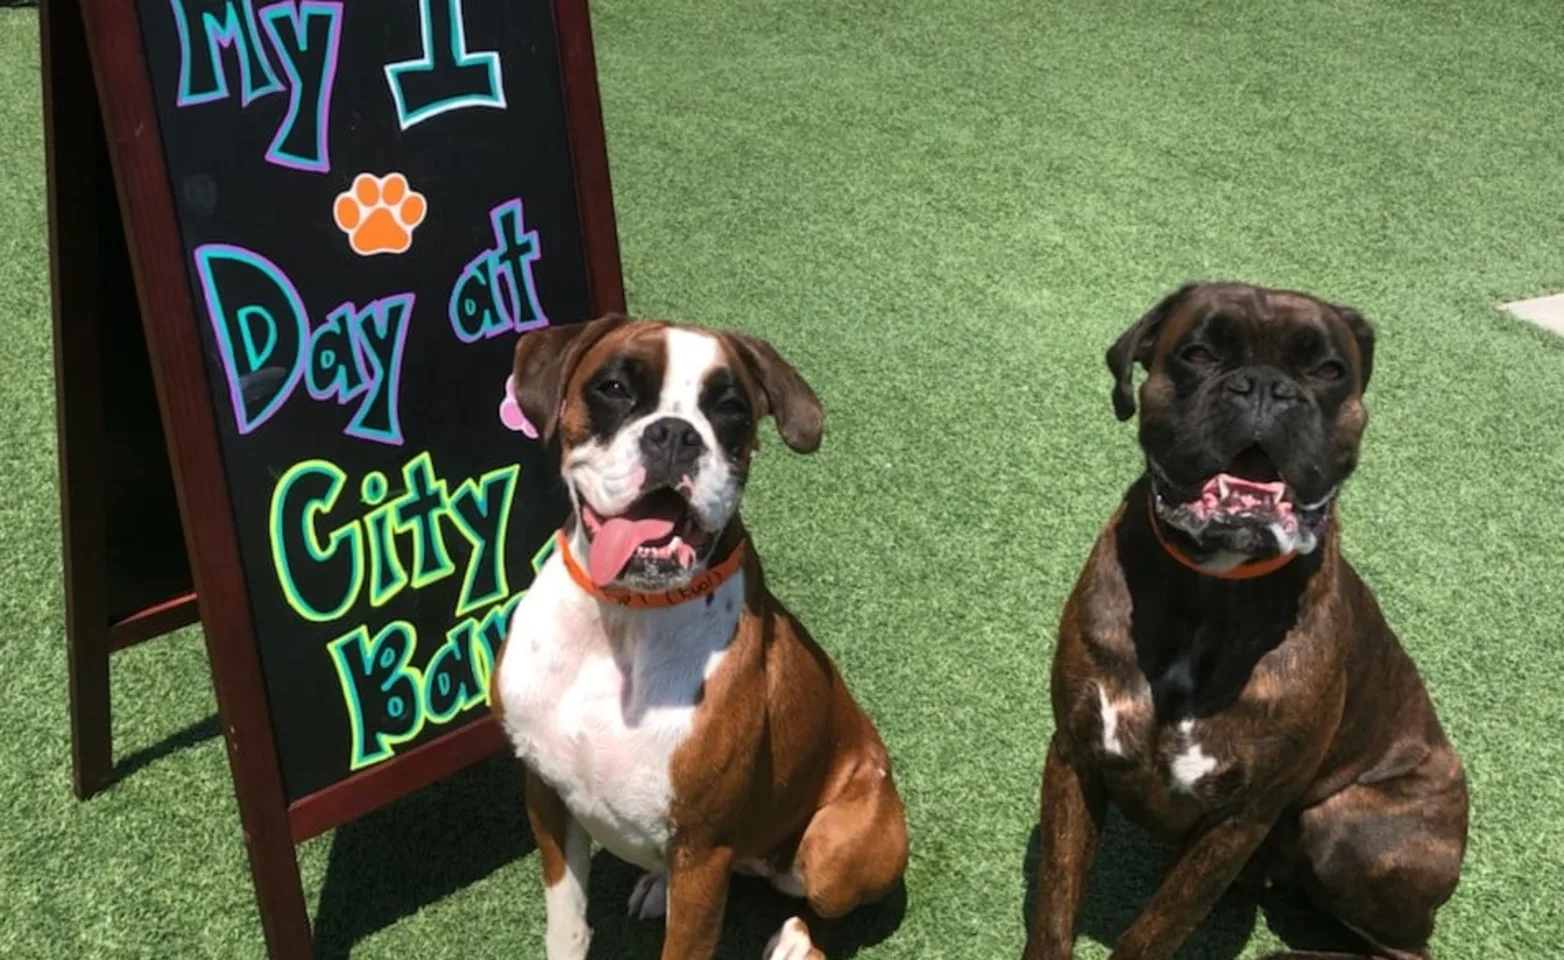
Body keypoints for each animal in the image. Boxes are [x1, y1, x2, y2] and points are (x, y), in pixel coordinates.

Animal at [487, 317, 907, 960]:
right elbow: (567, 925)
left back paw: (797, 939)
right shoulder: (547, 798)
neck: (622, 620)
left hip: (837, 844)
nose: (675, 434)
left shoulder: (703, 851)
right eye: (613, 387)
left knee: (826, 904)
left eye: (730, 408)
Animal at [1019, 279, 1470, 960]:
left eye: (1328, 370)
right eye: (1200, 352)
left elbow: (1156, 928)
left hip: (1344, 828)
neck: (1212, 590)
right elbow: (1055, 902)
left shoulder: (1240, 819)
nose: (1264, 386)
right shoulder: (1075, 757)